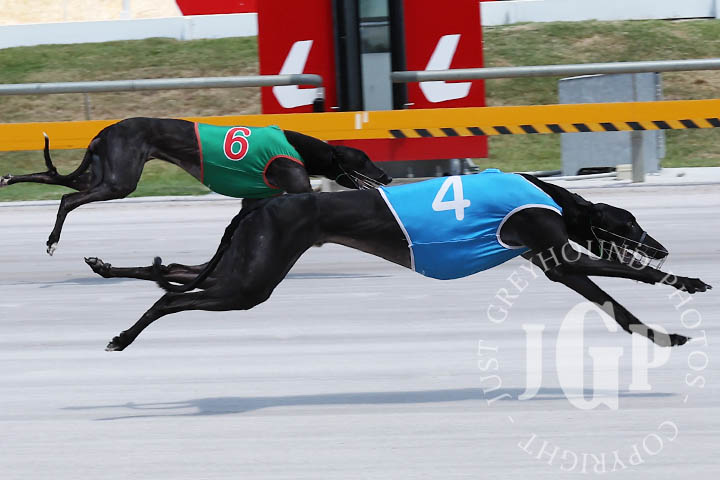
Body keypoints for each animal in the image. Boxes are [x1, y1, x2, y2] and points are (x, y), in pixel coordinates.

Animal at [0, 117, 391, 255]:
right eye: (365, 159)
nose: (387, 177)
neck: (299, 147)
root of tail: (105, 130)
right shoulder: (296, 188)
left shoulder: (252, 201)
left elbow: (235, 227)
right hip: (118, 181)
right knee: (68, 198)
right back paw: (52, 241)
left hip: (101, 172)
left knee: (56, 181)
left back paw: (8, 178)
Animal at [86, 169, 711, 352]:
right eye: (632, 223)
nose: (661, 244)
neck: (551, 195)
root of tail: (265, 201)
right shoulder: (553, 246)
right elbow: (627, 276)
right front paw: (685, 279)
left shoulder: (554, 265)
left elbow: (615, 306)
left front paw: (665, 336)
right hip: (252, 280)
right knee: (172, 296)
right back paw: (123, 336)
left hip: (246, 260)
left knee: (173, 273)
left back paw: (108, 271)